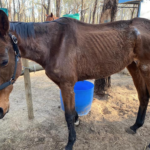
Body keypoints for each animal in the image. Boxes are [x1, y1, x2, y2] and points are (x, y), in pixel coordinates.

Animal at [0, 9, 150, 149]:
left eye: (4, 61)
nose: (1, 110)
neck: (54, 44)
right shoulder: (64, 85)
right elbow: (72, 110)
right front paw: (77, 121)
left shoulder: (67, 85)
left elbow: (68, 114)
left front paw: (70, 142)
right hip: (134, 67)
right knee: (143, 96)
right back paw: (135, 126)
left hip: (145, 69)